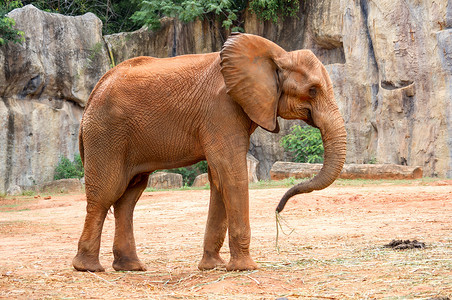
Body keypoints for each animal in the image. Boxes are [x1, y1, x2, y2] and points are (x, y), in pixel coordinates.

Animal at [72, 32, 346, 272]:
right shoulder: (221, 110)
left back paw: (131, 268)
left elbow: (218, 180)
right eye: (313, 90)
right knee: (106, 193)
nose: (278, 209)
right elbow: (231, 173)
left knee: (128, 197)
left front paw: (213, 267)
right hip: (106, 134)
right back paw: (89, 268)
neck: (276, 56)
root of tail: (92, 95)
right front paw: (244, 268)